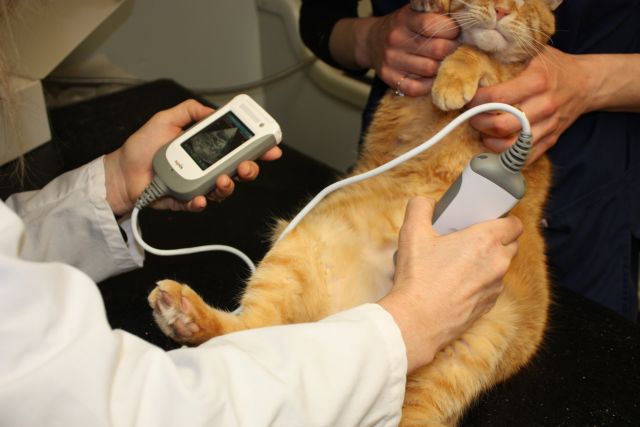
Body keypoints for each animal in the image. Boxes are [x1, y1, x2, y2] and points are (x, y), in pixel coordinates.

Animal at [148, 0, 561, 425]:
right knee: (251, 337)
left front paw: (455, 75)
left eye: (524, 5)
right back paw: (184, 315)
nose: (501, 10)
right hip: (297, 252)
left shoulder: (511, 95)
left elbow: (481, 55)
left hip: (453, 368)